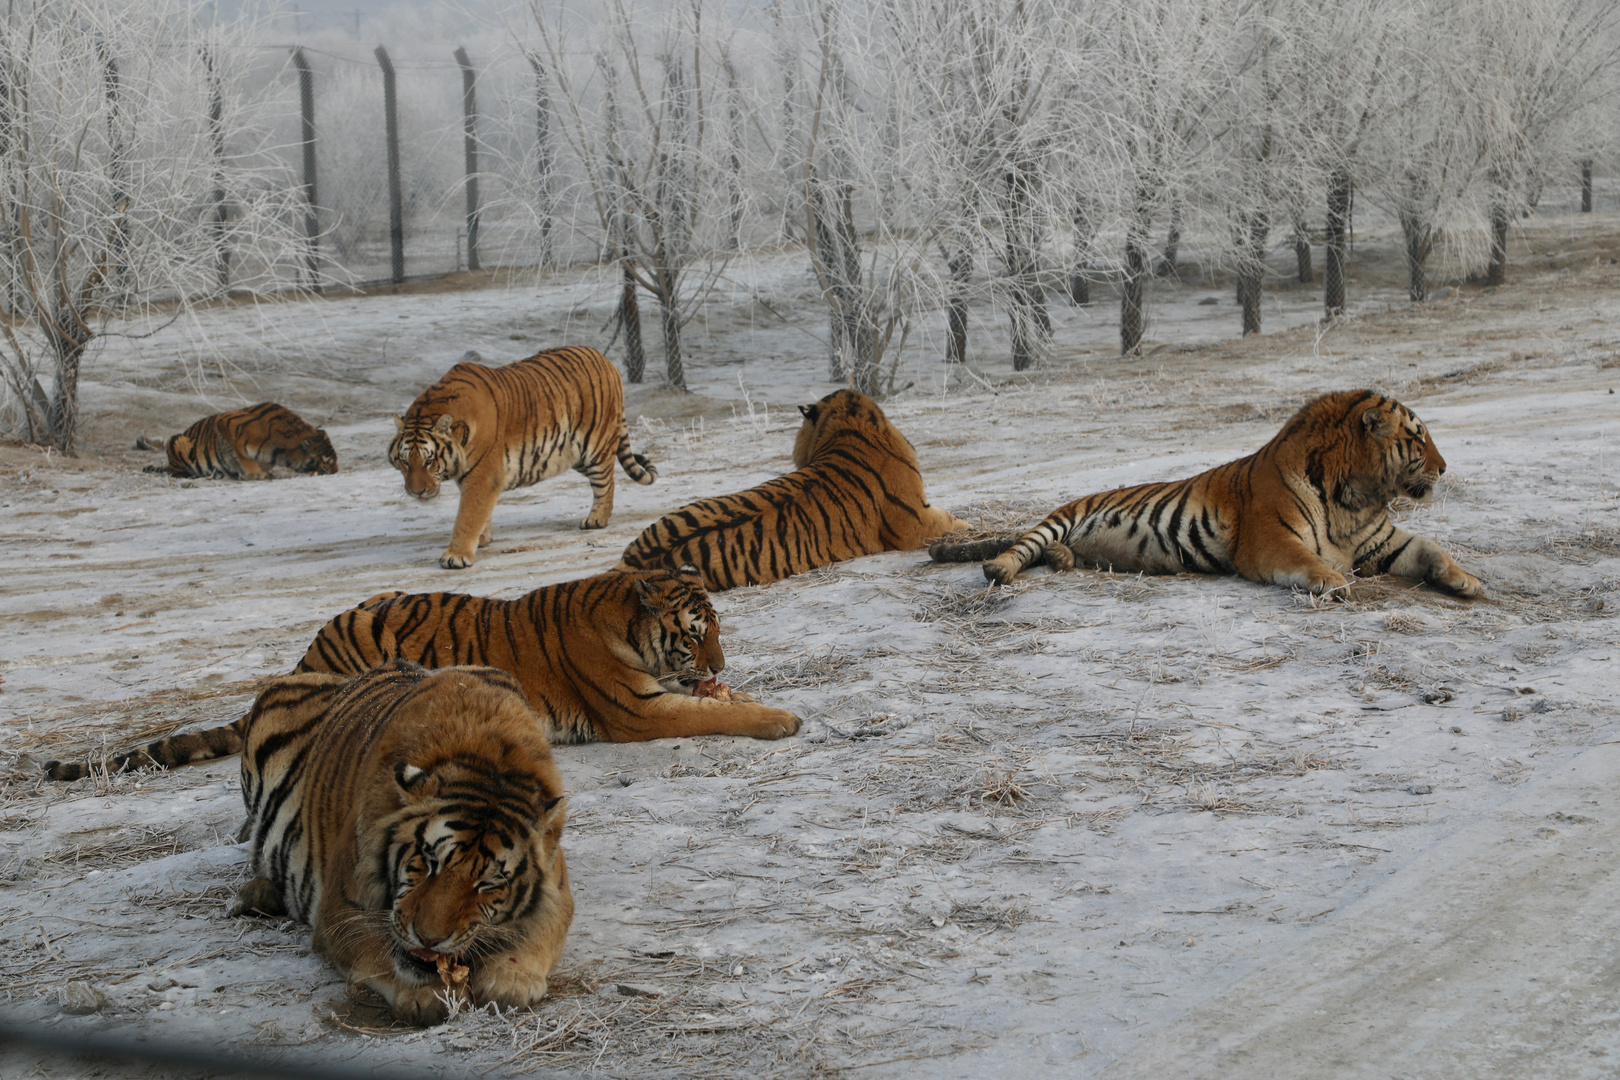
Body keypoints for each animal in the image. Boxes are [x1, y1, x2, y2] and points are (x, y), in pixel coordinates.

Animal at [147, 401, 336, 482]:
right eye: (328, 461)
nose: (336, 472)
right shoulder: (227, 423)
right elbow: (244, 456)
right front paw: (257, 473)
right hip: (176, 440)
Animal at [221, 663, 576, 1029]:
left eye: (488, 883)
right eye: (430, 860)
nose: (430, 940)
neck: (488, 761)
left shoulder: (558, 893)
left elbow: (535, 934)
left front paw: (510, 981)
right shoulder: (341, 909)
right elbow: (380, 952)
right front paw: (426, 994)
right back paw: (259, 894)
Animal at [388, 346, 654, 569]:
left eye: (429, 461)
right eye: (405, 461)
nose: (416, 492)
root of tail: (607, 360)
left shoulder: (483, 476)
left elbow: (467, 515)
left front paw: (456, 555)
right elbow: (479, 514)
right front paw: (483, 538)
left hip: (595, 446)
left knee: (606, 482)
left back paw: (596, 519)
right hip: (573, 453)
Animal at [933, 390, 1483, 599]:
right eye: (1417, 439)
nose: (1444, 467)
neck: (1356, 497)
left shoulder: (1381, 540)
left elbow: (1433, 549)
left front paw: (1467, 581)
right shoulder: (1269, 539)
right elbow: (1306, 560)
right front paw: (1334, 582)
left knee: (1056, 552)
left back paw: (1065, 560)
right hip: (1058, 518)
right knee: (1020, 548)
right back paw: (1000, 569)